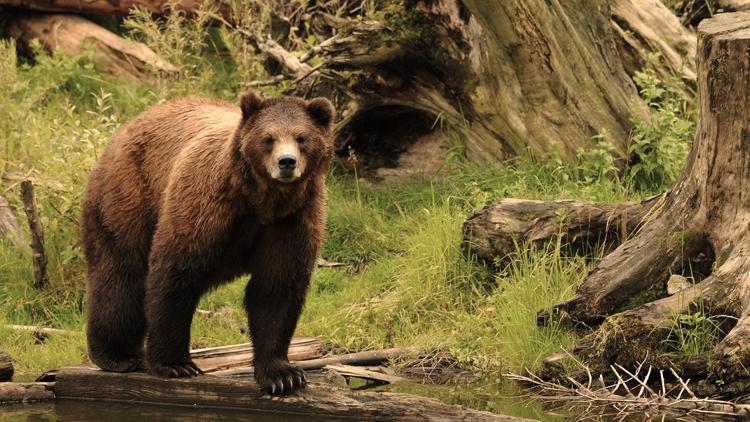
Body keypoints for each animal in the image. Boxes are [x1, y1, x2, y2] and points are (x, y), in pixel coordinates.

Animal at [81, 90, 336, 396]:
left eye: (301, 137)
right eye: (268, 138)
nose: (286, 162)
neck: (261, 200)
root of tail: (127, 126)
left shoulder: (293, 219)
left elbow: (276, 288)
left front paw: (282, 375)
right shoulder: (208, 204)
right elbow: (176, 272)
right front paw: (176, 364)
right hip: (131, 193)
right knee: (122, 272)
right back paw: (117, 355)